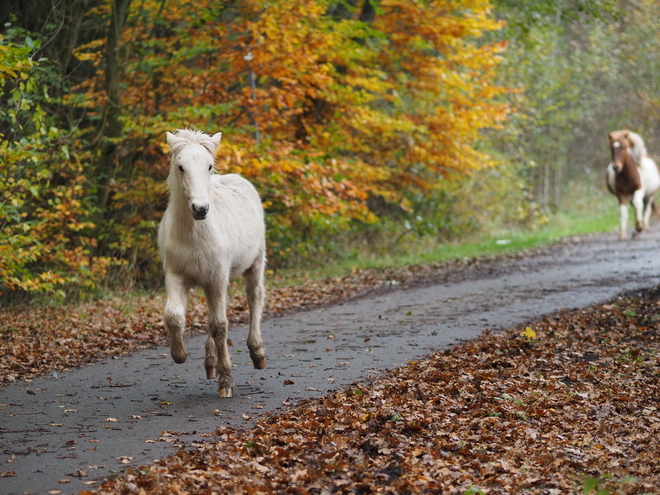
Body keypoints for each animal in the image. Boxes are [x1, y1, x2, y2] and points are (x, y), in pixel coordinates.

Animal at [157, 129, 266, 400]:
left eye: (208, 166)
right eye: (181, 166)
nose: (200, 209)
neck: (194, 234)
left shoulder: (216, 277)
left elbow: (220, 326)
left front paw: (227, 383)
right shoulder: (176, 276)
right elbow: (174, 316)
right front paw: (179, 354)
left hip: (255, 264)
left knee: (254, 297)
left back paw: (257, 353)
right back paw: (210, 363)